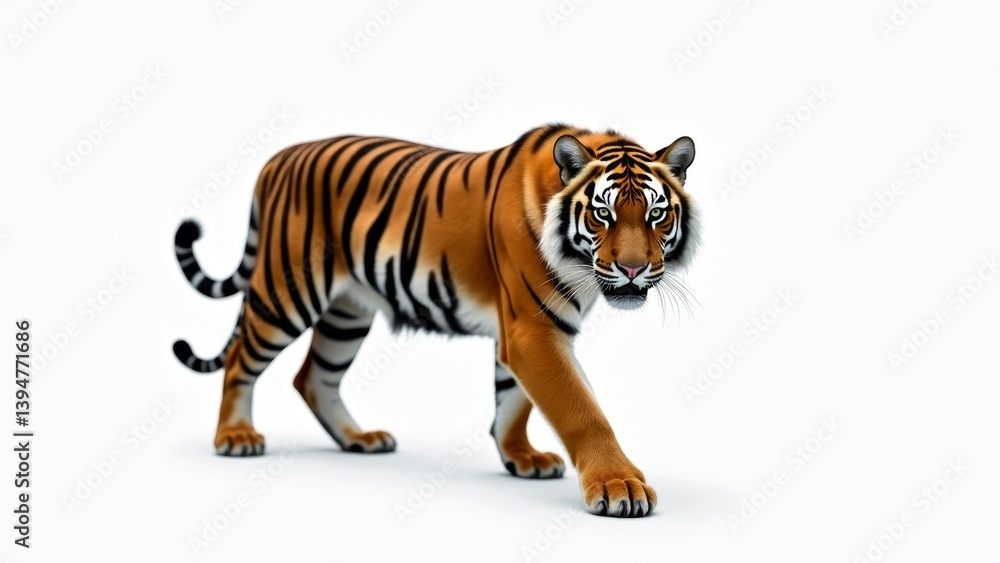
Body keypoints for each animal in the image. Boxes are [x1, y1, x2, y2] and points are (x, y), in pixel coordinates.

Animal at [173, 123, 698, 518]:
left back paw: (360, 440)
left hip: (347, 312)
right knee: (240, 359)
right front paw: (618, 485)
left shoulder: (522, 332)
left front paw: (521, 458)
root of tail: (277, 158)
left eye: (656, 215)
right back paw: (235, 438)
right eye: (602, 214)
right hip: (287, 293)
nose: (632, 269)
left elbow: (514, 401)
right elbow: (580, 410)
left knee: (312, 378)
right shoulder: (532, 330)